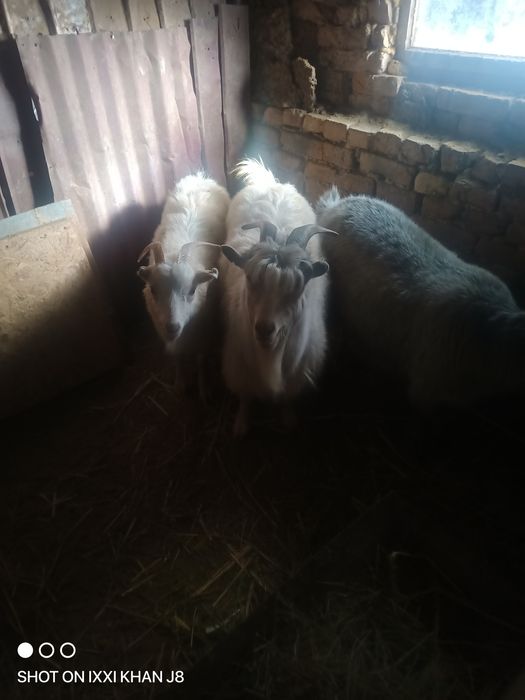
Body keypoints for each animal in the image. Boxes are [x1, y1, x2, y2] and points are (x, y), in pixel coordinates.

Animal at [138, 173, 230, 392]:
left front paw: (204, 389)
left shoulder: (202, 329)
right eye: (153, 290)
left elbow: (201, 358)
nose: (172, 326)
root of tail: (200, 176)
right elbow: (178, 358)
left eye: (192, 291)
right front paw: (179, 383)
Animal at [220, 159, 336, 435]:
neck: (270, 356)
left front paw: (288, 418)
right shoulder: (238, 364)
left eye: (298, 288)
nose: (264, 329)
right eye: (251, 280)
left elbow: (288, 398)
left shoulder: (298, 371)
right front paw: (241, 424)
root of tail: (270, 183)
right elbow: (245, 396)